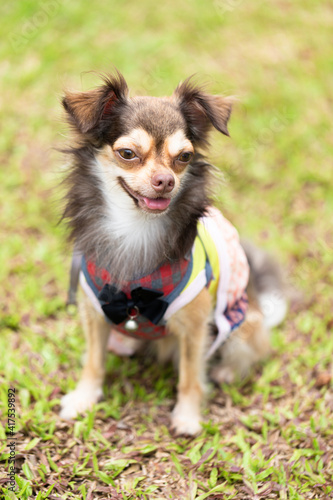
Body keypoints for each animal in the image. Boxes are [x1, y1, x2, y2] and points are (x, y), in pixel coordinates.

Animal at [59, 72, 286, 436]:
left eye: (184, 157)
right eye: (127, 153)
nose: (165, 180)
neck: (136, 228)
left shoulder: (196, 327)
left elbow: (190, 378)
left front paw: (187, 417)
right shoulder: (93, 312)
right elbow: (93, 361)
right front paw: (84, 397)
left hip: (241, 324)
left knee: (249, 350)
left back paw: (226, 371)